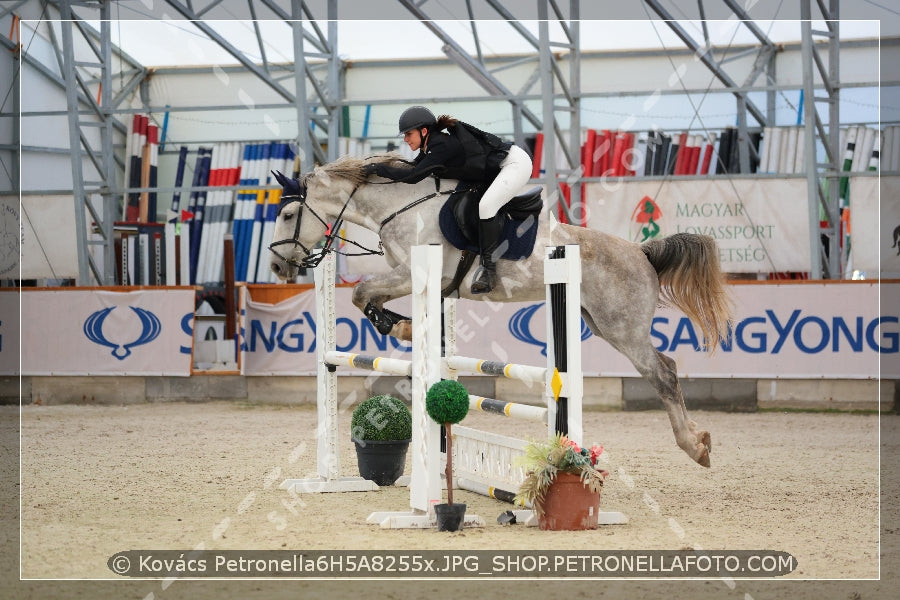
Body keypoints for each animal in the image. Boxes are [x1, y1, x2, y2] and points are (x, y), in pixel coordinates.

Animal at [266, 154, 732, 464]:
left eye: (287, 214)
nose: (274, 266)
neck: (400, 208)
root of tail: (641, 251)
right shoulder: (414, 278)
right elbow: (367, 296)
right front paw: (400, 326)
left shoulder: (417, 273)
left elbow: (362, 292)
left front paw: (398, 327)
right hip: (599, 322)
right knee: (665, 366)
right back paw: (697, 440)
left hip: (623, 329)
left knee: (663, 373)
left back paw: (695, 446)